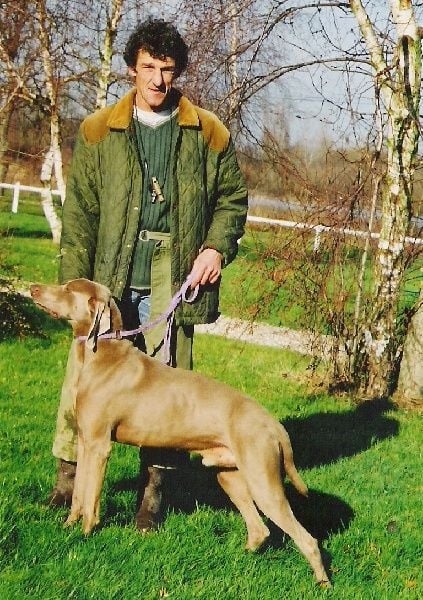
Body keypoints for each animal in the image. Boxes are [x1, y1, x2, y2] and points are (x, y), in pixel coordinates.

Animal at [30, 278, 330, 584]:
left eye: (68, 290)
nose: (33, 289)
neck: (101, 354)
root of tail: (274, 424)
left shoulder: (99, 445)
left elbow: (91, 495)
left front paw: (87, 533)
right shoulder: (85, 440)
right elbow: (79, 492)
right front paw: (68, 527)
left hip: (262, 480)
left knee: (307, 539)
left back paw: (323, 583)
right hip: (230, 476)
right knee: (261, 529)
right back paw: (239, 558)